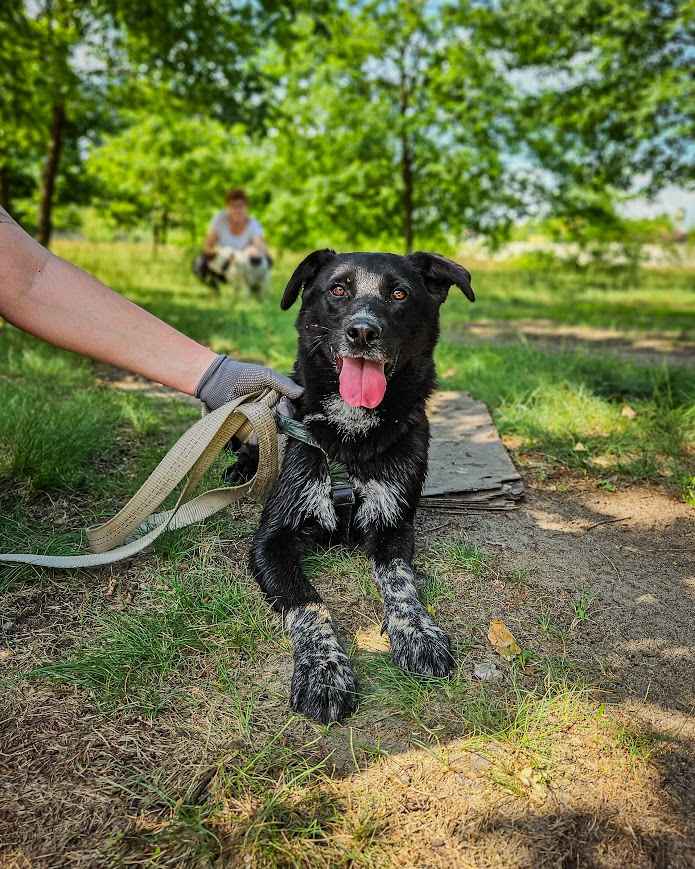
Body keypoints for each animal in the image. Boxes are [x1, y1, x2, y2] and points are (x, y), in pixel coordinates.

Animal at [243, 248, 474, 724]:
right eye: (337, 289)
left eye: (399, 294)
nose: (363, 331)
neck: (350, 439)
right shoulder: (270, 539)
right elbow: (307, 603)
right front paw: (323, 670)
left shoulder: (395, 526)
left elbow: (400, 580)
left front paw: (417, 633)